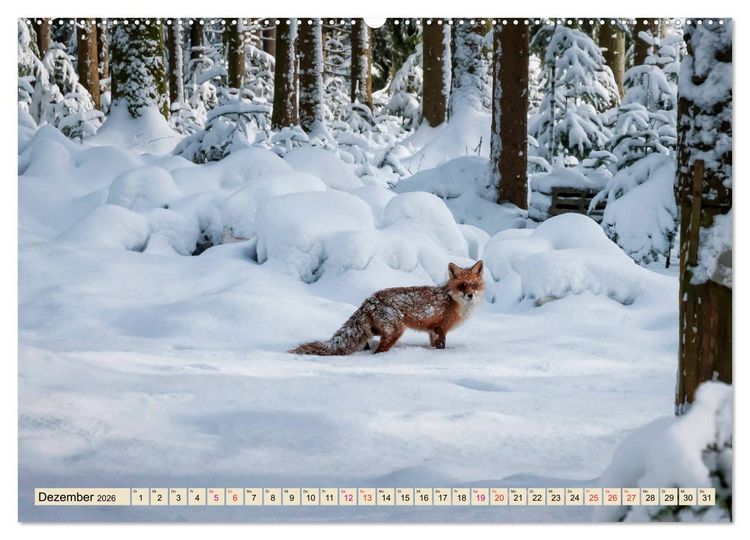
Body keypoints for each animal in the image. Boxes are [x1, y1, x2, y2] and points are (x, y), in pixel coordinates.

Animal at [289, 260, 485, 355]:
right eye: (462, 286)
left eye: (474, 285)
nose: (470, 295)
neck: (453, 302)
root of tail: (370, 299)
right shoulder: (440, 329)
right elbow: (441, 347)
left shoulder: (432, 331)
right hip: (395, 332)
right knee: (378, 350)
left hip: (379, 329)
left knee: (368, 337)